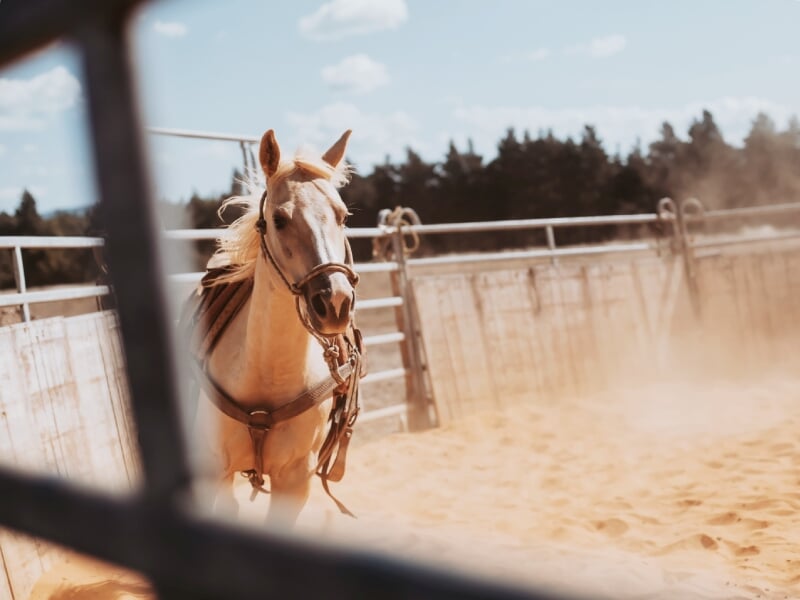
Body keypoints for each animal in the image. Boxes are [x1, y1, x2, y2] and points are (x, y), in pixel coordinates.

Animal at [182, 129, 364, 527]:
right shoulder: (211, 472)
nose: (335, 302)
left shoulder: (295, 481)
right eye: (279, 219)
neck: (265, 374)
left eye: (343, 216)